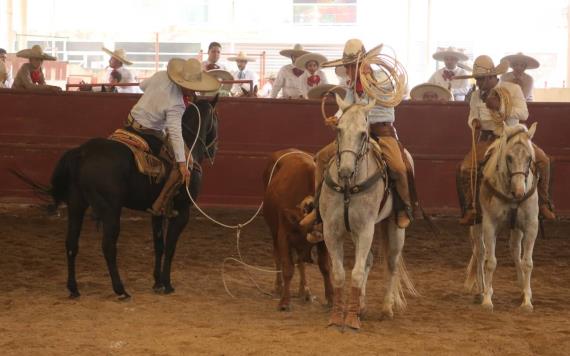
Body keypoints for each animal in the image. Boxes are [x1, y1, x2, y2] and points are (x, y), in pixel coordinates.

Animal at [46, 96, 219, 298]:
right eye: (217, 118)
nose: (213, 150)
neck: (188, 148)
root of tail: (82, 152)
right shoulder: (182, 211)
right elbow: (170, 247)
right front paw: (167, 284)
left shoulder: (157, 212)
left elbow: (159, 245)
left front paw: (157, 282)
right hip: (110, 210)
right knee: (108, 246)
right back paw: (120, 290)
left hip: (76, 205)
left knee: (71, 244)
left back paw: (73, 288)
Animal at [318, 95, 414, 330]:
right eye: (338, 130)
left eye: (363, 133)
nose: (345, 171)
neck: (348, 186)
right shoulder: (331, 231)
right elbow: (340, 274)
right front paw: (338, 316)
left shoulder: (365, 230)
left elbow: (357, 272)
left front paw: (351, 319)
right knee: (369, 259)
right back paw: (361, 305)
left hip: (395, 228)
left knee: (391, 262)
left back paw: (387, 308)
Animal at [464, 123, 540, 312]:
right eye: (509, 157)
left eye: (529, 158)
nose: (520, 192)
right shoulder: (489, 225)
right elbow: (491, 261)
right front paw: (487, 300)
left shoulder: (531, 226)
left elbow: (527, 262)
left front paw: (527, 300)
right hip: (476, 225)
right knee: (480, 252)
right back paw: (481, 290)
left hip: (516, 229)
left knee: (515, 250)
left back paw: (521, 288)